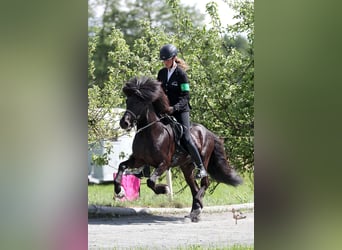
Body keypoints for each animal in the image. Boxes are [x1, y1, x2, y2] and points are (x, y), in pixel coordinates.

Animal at [113, 75, 242, 221]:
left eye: (138, 102)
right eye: (127, 101)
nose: (124, 123)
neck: (150, 132)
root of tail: (209, 132)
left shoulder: (164, 163)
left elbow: (151, 181)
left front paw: (164, 190)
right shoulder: (139, 160)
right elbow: (122, 166)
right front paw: (119, 191)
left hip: (204, 160)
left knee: (205, 183)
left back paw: (198, 204)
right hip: (186, 167)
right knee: (194, 188)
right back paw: (194, 212)